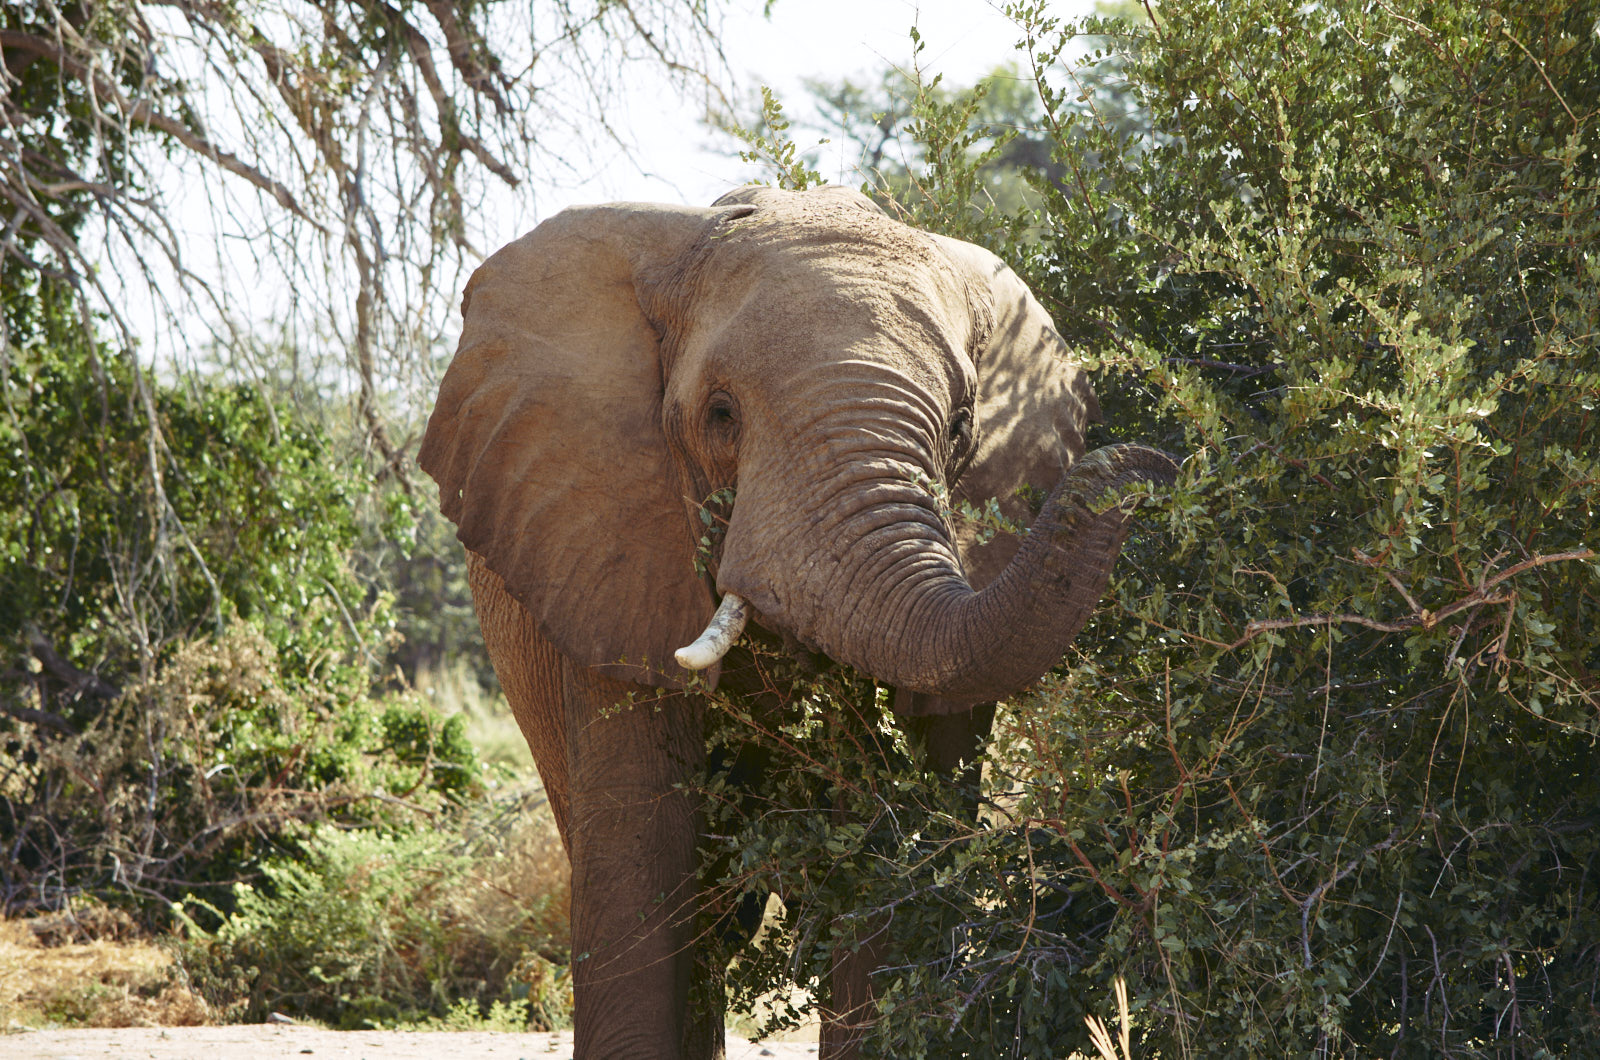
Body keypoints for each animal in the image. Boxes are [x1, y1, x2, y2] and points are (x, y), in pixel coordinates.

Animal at [418, 184, 1175, 1058]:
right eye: (719, 415)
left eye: (960, 428)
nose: (1154, 467)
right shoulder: (601, 540)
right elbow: (642, 859)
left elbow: (910, 827)